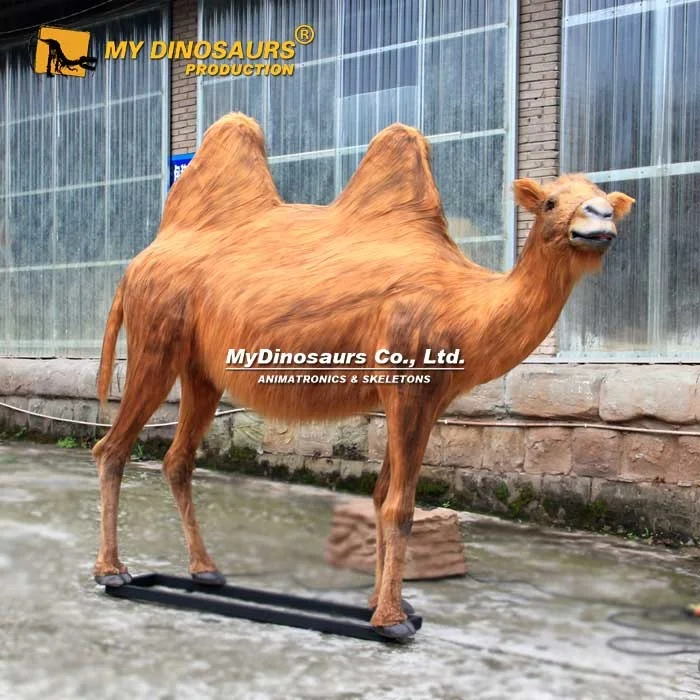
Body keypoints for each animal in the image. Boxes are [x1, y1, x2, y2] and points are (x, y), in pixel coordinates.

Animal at [92, 112, 634, 640]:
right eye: (550, 202)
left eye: (605, 198)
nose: (600, 219)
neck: (465, 306)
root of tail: (138, 261)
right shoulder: (408, 387)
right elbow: (401, 506)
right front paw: (392, 619)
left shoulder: (423, 398)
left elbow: (380, 497)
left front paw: (379, 603)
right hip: (155, 341)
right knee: (111, 448)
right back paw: (112, 572)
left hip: (201, 371)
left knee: (177, 460)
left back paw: (204, 571)